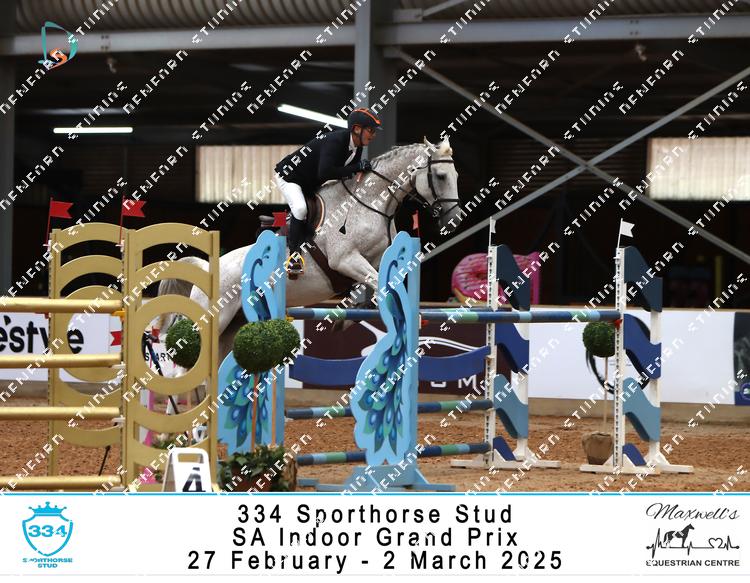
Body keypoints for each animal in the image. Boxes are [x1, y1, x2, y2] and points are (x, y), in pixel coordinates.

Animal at [157, 138, 463, 362]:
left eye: (456, 175)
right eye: (440, 175)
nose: (454, 218)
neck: (370, 204)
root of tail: (208, 268)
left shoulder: (372, 261)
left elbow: (373, 284)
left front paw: (351, 317)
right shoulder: (345, 260)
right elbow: (377, 283)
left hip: (233, 326)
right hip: (214, 318)